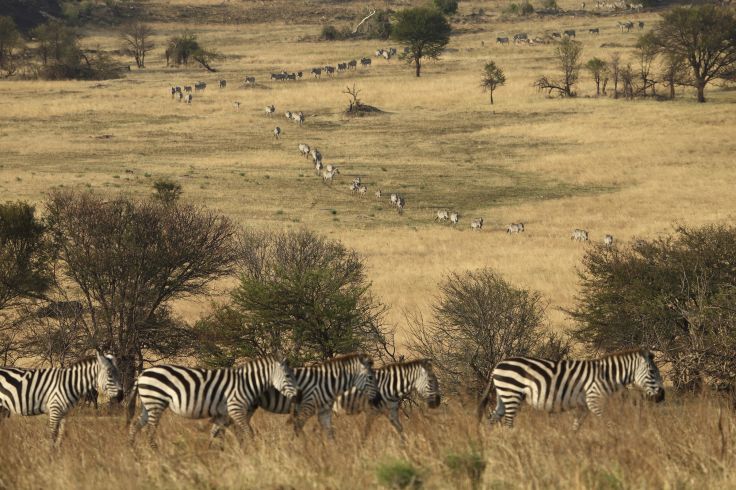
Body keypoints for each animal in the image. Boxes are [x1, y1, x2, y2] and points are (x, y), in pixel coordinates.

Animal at [128, 354, 300, 450]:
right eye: (288, 376)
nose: (298, 395)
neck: (246, 383)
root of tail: (142, 374)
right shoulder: (236, 408)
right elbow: (247, 432)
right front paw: (253, 451)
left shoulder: (222, 414)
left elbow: (216, 434)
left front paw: (212, 453)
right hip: (155, 402)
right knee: (150, 431)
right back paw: (155, 453)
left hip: (148, 404)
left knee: (135, 425)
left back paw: (132, 450)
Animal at [227, 352, 380, 440]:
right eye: (371, 378)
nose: (377, 399)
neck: (327, 383)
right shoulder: (307, 407)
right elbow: (297, 429)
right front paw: (297, 449)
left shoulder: (324, 411)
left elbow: (330, 434)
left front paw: (333, 455)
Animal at [478, 348, 668, 428]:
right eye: (652, 372)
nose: (662, 396)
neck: (607, 375)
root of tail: (498, 365)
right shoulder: (594, 400)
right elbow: (609, 422)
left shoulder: (583, 405)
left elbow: (576, 426)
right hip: (512, 393)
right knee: (507, 422)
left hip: (504, 396)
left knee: (492, 419)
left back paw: (491, 446)